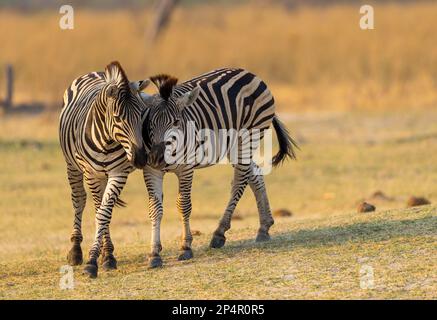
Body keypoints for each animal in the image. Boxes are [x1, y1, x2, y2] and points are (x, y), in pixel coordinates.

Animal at [59, 62, 151, 278]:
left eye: (142, 114)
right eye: (118, 118)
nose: (140, 158)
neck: (107, 141)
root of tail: (94, 72)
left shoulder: (119, 173)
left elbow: (104, 213)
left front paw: (106, 256)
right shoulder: (91, 174)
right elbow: (97, 211)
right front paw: (93, 259)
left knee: (99, 206)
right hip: (73, 167)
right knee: (79, 200)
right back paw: (75, 250)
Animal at [140, 68, 296, 268]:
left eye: (176, 122)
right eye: (150, 123)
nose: (157, 157)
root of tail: (250, 73)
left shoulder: (186, 168)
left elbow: (183, 205)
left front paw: (185, 247)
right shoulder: (151, 170)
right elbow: (155, 208)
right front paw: (154, 253)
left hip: (248, 138)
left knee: (239, 181)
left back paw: (219, 233)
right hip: (235, 147)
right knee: (255, 176)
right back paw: (264, 227)